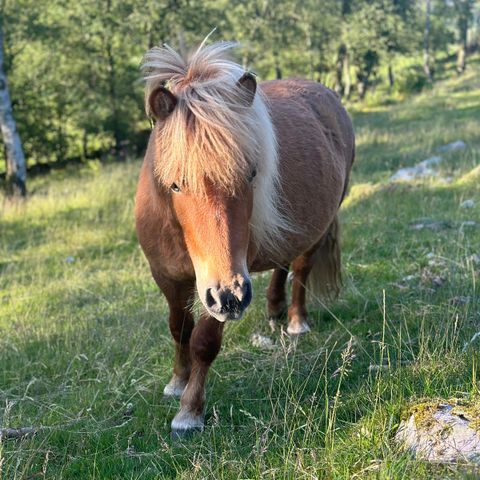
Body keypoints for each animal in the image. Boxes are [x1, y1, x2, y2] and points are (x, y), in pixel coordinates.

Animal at [133, 41, 354, 436]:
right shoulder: (166, 275)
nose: (229, 296)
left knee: (301, 269)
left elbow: (203, 342)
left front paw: (189, 411)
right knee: (283, 263)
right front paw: (177, 381)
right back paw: (274, 310)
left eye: (251, 174)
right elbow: (179, 328)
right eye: (175, 184)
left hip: (316, 230)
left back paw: (296, 321)